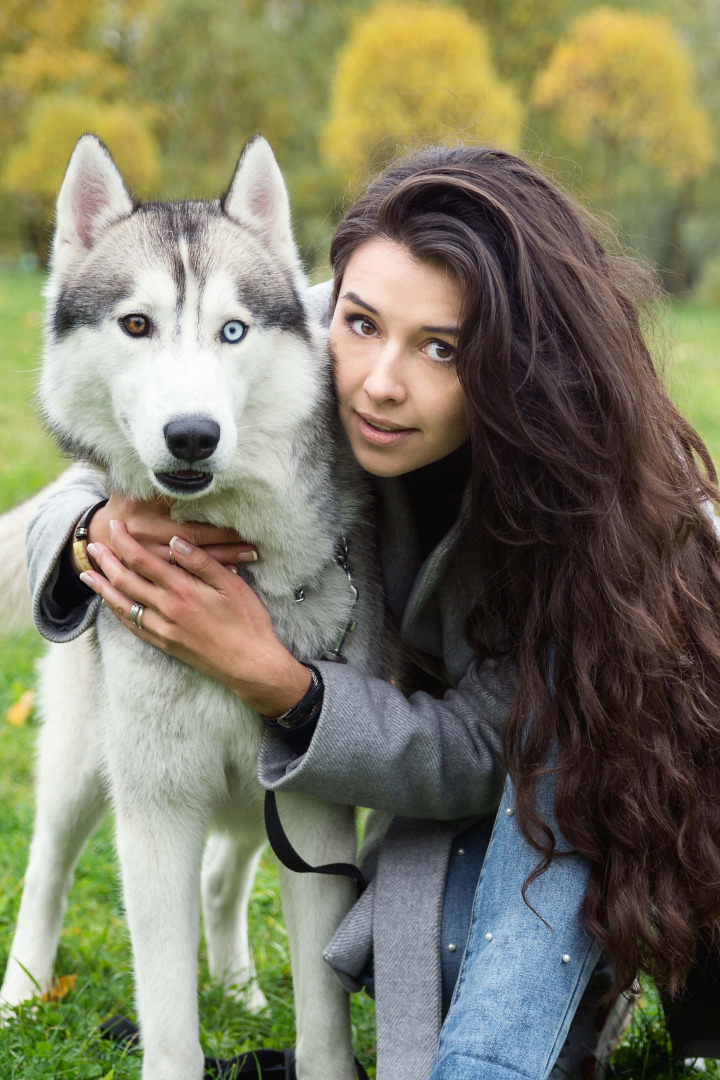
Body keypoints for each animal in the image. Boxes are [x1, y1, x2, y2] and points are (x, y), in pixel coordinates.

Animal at [1, 135, 388, 1080]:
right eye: (136, 325)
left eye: (232, 331)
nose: (192, 435)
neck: (233, 564)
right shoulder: (155, 808)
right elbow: (167, 1008)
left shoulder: (312, 807)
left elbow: (323, 1013)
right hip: (83, 766)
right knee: (45, 870)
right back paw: (21, 995)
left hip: (258, 794)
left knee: (222, 875)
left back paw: (242, 994)